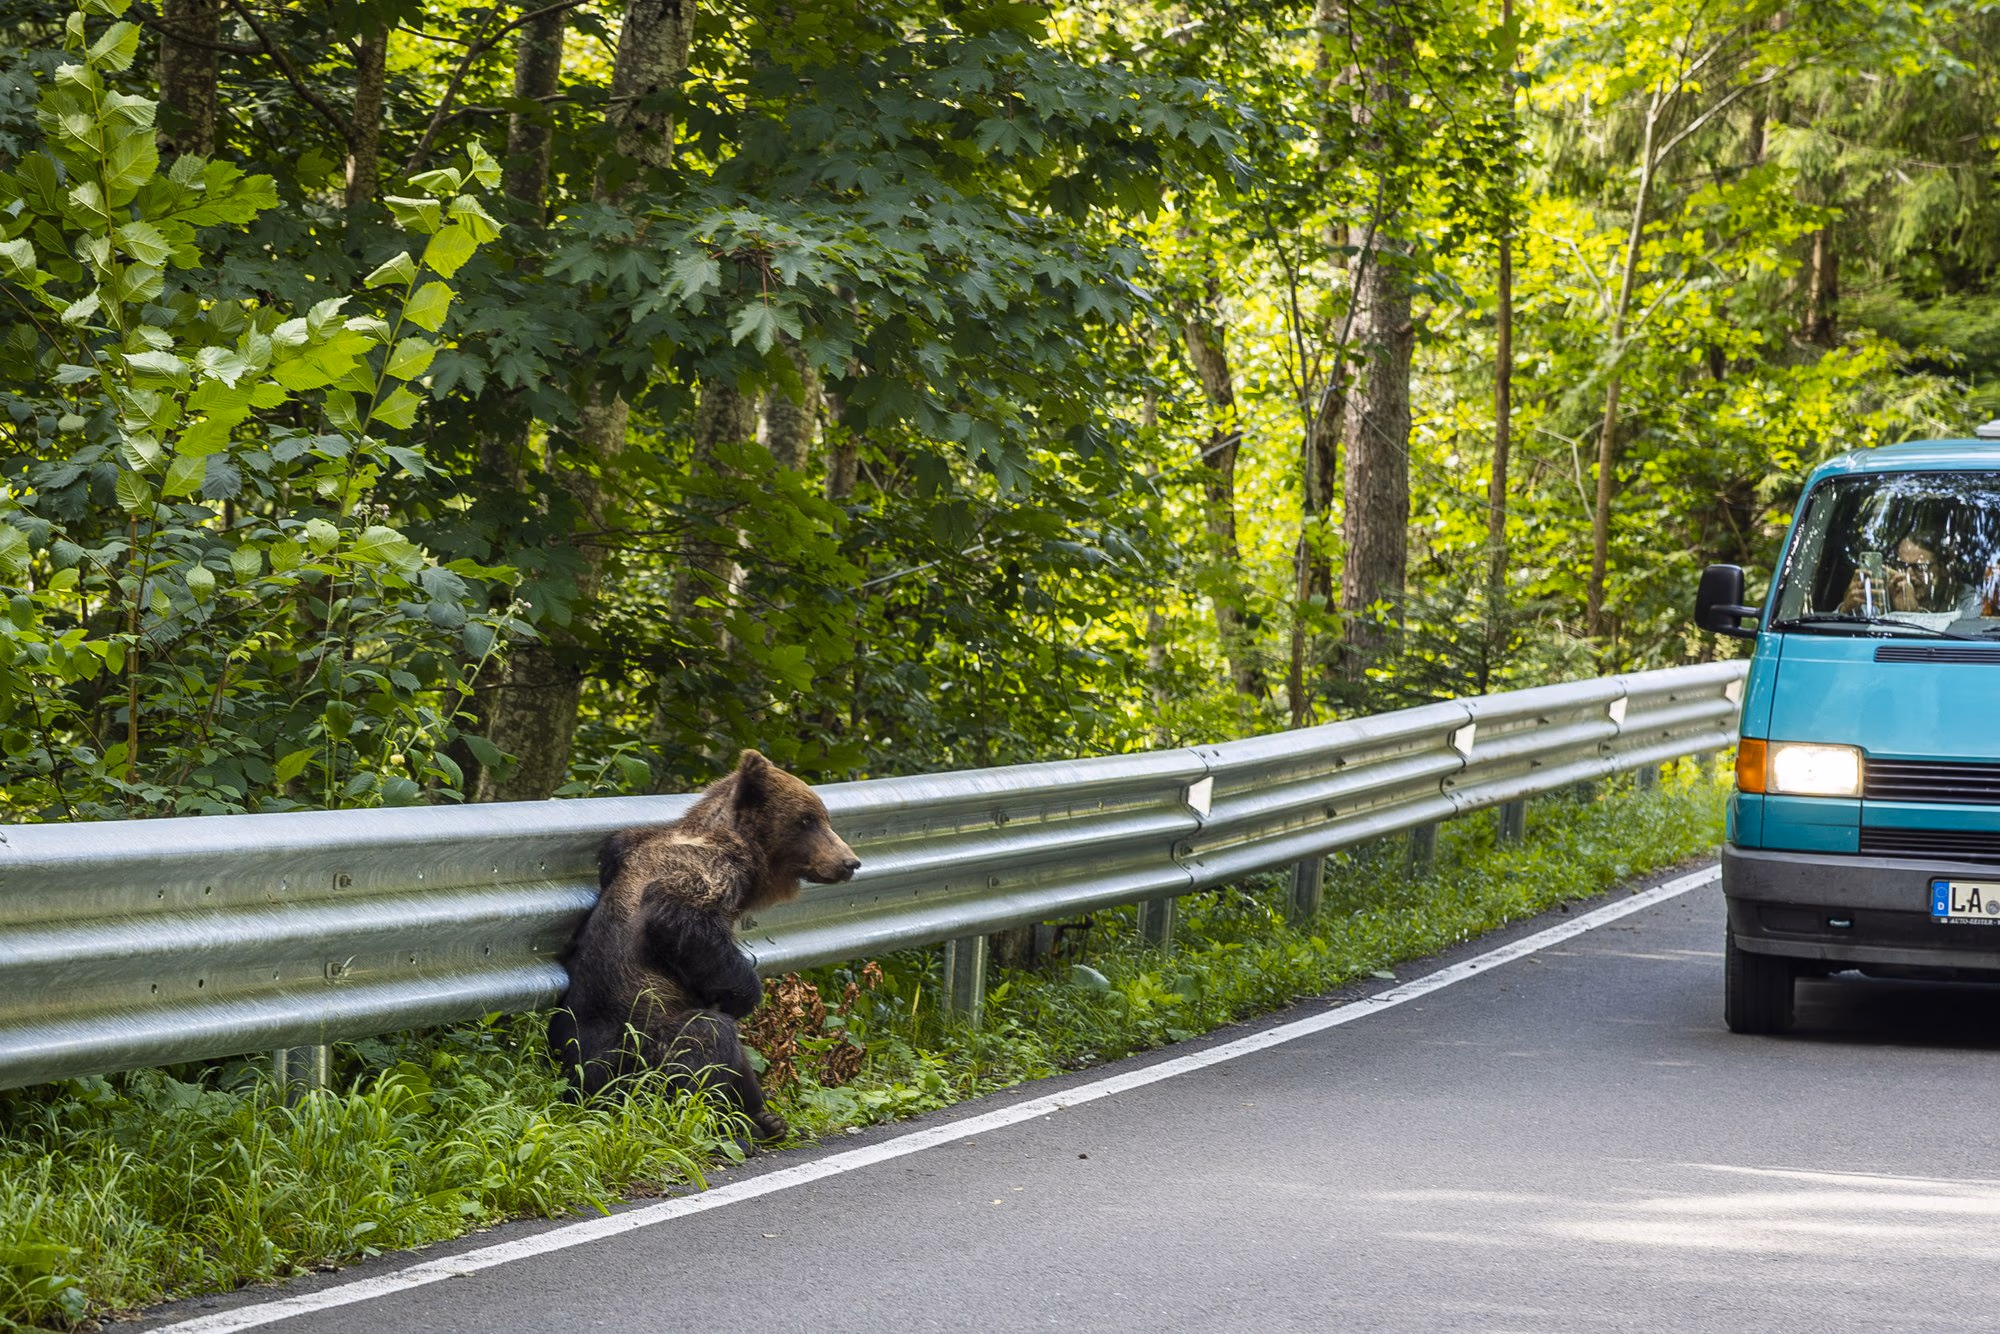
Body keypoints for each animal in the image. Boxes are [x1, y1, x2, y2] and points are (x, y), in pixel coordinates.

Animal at [547, 749, 860, 1141]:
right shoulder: (706, 873)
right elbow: (682, 921)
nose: (850, 862)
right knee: (705, 1038)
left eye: (823, 816)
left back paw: (765, 1119)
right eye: (808, 819)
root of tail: (587, 1091)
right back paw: (733, 1127)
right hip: (636, 1048)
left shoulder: (620, 848)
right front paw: (744, 994)